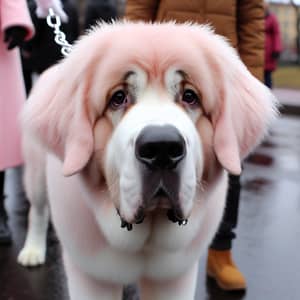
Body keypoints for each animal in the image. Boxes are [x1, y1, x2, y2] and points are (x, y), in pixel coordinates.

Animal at [17, 22, 278, 298]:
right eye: (118, 98)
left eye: (190, 96)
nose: (162, 148)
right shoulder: (91, 276)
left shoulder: (174, 278)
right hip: (36, 173)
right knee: (37, 210)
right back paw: (32, 251)